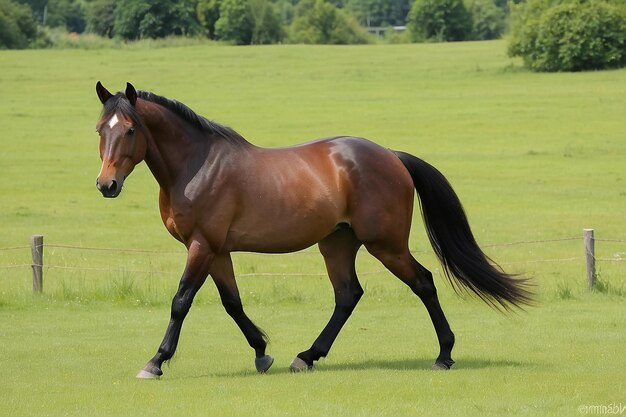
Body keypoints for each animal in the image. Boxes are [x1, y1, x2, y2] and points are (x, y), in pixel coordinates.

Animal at [94, 81, 532, 376]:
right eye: (101, 130)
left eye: (130, 129)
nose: (106, 185)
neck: (198, 165)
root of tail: (391, 156)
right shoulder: (217, 250)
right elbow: (232, 303)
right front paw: (261, 352)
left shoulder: (202, 245)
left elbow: (181, 301)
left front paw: (156, 361)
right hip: (337, 243)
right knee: (348, 295)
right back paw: (307, 356)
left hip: (385, 244)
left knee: (423, 283)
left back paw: (444, 355)